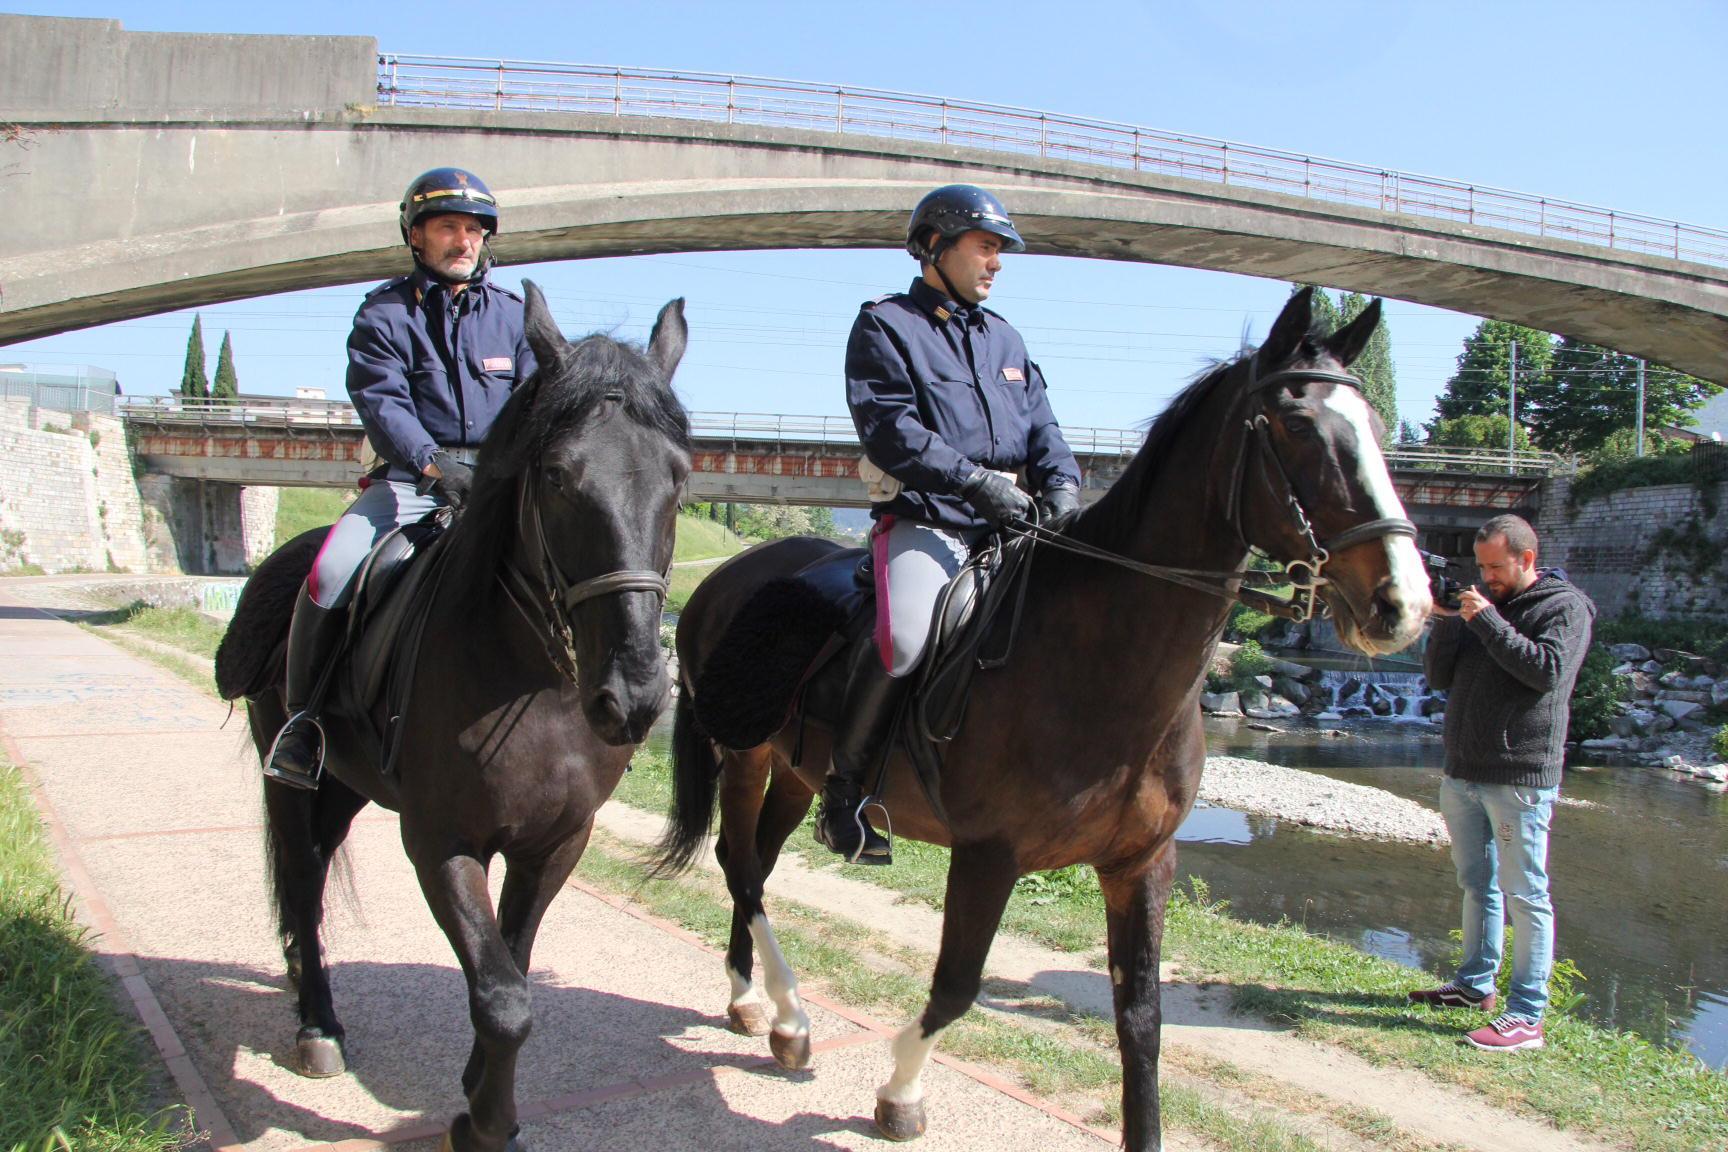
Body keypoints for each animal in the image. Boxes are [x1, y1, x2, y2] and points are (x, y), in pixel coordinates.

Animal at [214, 282, 692, 1152]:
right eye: (558, 475)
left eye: (678, 478)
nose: (634, 697)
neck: (531, 683)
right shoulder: (440, 841)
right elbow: (503, 998)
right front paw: (483, 1121)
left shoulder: (554, 842)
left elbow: (512, 965)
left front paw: (480, 1092)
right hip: (293, 774)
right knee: (302, 882)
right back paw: (317, 1027)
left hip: (347, 784)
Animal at [652, 287, 1430, 1151]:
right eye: (1296, 424)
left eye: (1378, 430)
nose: (1402, 604)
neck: (1095, 667)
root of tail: (730, 576)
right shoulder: (987, 856)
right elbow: (957, 987)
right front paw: (899, 1092)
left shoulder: (1141, 865)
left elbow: (1141, 1019)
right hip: (744, 752)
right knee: (740, 865)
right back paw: (784, 1011)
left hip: (798, 770)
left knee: (754, 860)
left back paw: (759, 1006)